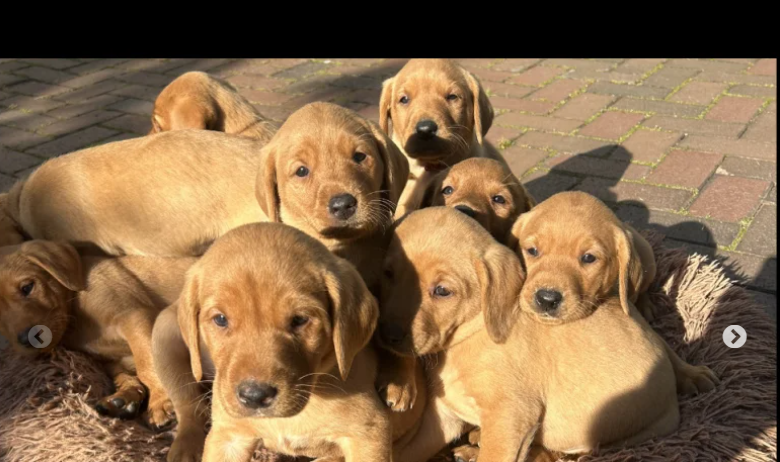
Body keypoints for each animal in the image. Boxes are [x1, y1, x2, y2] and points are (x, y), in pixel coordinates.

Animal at [0, 240, 195, 428]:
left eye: (27, 288)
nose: (27, 338)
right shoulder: (112, 360)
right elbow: (123, 375)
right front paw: (123, 398)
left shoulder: (135, 317)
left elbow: (148, 364)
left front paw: (160, 401)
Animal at [149, 224, 424, 462]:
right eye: (220, 319)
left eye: (299, 320)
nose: (255, 396)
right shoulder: (228, 437)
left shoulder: (369, 433)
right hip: (164, 334)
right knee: (188, 408)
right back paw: (186, 446)